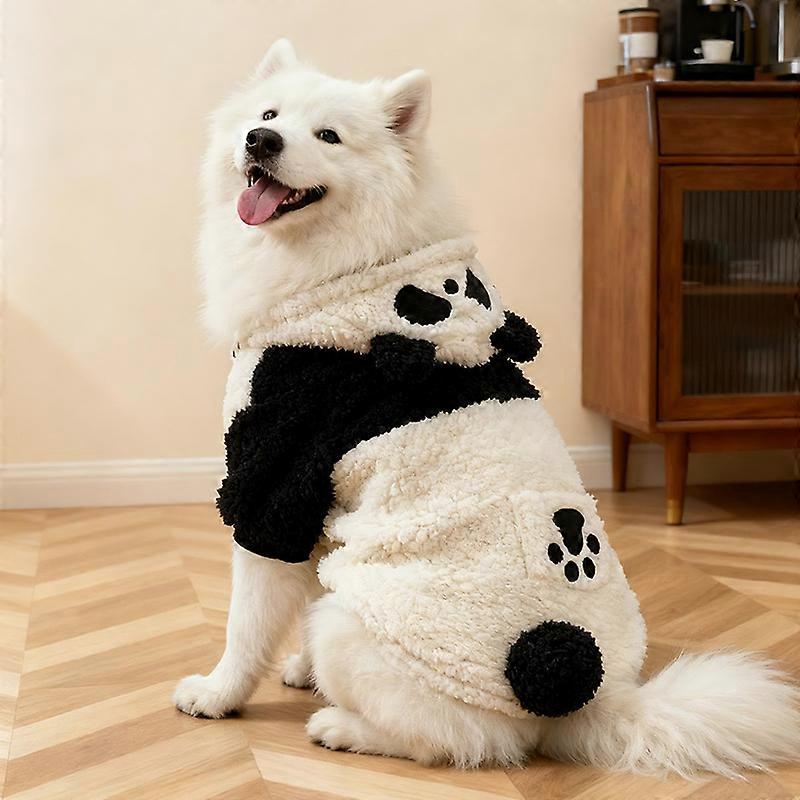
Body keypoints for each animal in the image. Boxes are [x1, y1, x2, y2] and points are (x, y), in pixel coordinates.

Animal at [217, 238, 646, 720]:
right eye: (444, 293)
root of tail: (590, 696)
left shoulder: (274, 476)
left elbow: (248, 622)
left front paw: (217, 695)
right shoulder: (323, 506)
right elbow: (309, 587)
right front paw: (302, 672)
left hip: (365, 625)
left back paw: (338, 725)